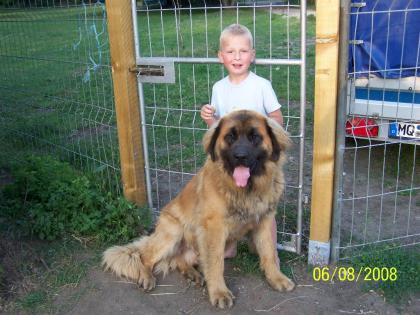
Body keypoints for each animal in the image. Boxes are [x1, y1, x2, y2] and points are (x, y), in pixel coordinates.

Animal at [104, 110, 296, 308]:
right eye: (230, 137)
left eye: (255, 137)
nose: (240, 156)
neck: (244, 191)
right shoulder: (214, 229)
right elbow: (216, 263)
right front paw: (219, 293)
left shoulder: (264, 221)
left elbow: (269, 253)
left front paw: (276, 278)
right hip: (173, 231)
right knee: (145, 257)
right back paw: (147, 277)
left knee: (179, 259)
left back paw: (193, 274)